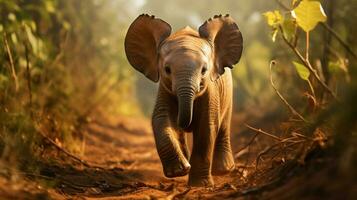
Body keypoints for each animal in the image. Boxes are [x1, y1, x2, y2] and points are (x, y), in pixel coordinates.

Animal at [124, 13, 243, 186]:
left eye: (204, 70)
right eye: (167, 70)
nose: (184, 124)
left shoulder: (211, 90)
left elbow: (207, 127)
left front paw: (200, 185)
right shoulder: (164, 89)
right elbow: (161, 120)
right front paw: (180, 171)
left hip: (229, 93)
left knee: (224, 125)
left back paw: (222, 170)